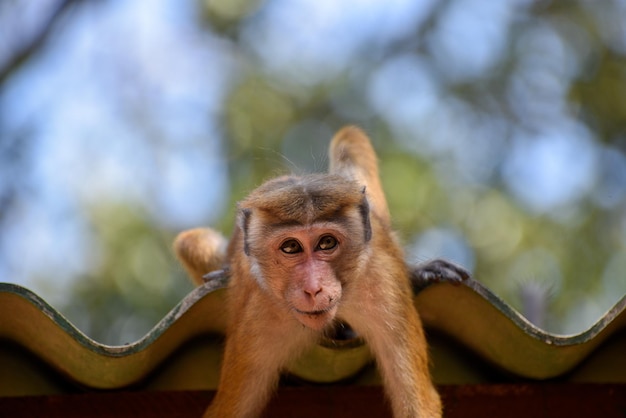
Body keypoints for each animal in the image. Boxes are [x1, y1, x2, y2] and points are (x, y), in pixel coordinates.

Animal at [173, 127, 466, 418]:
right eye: (291, 247)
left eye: (327, 243)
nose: (314, 288)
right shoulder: (258, 315)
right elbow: (228, 409)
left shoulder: (385, 289)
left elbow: (418, 402)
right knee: (190, 241)